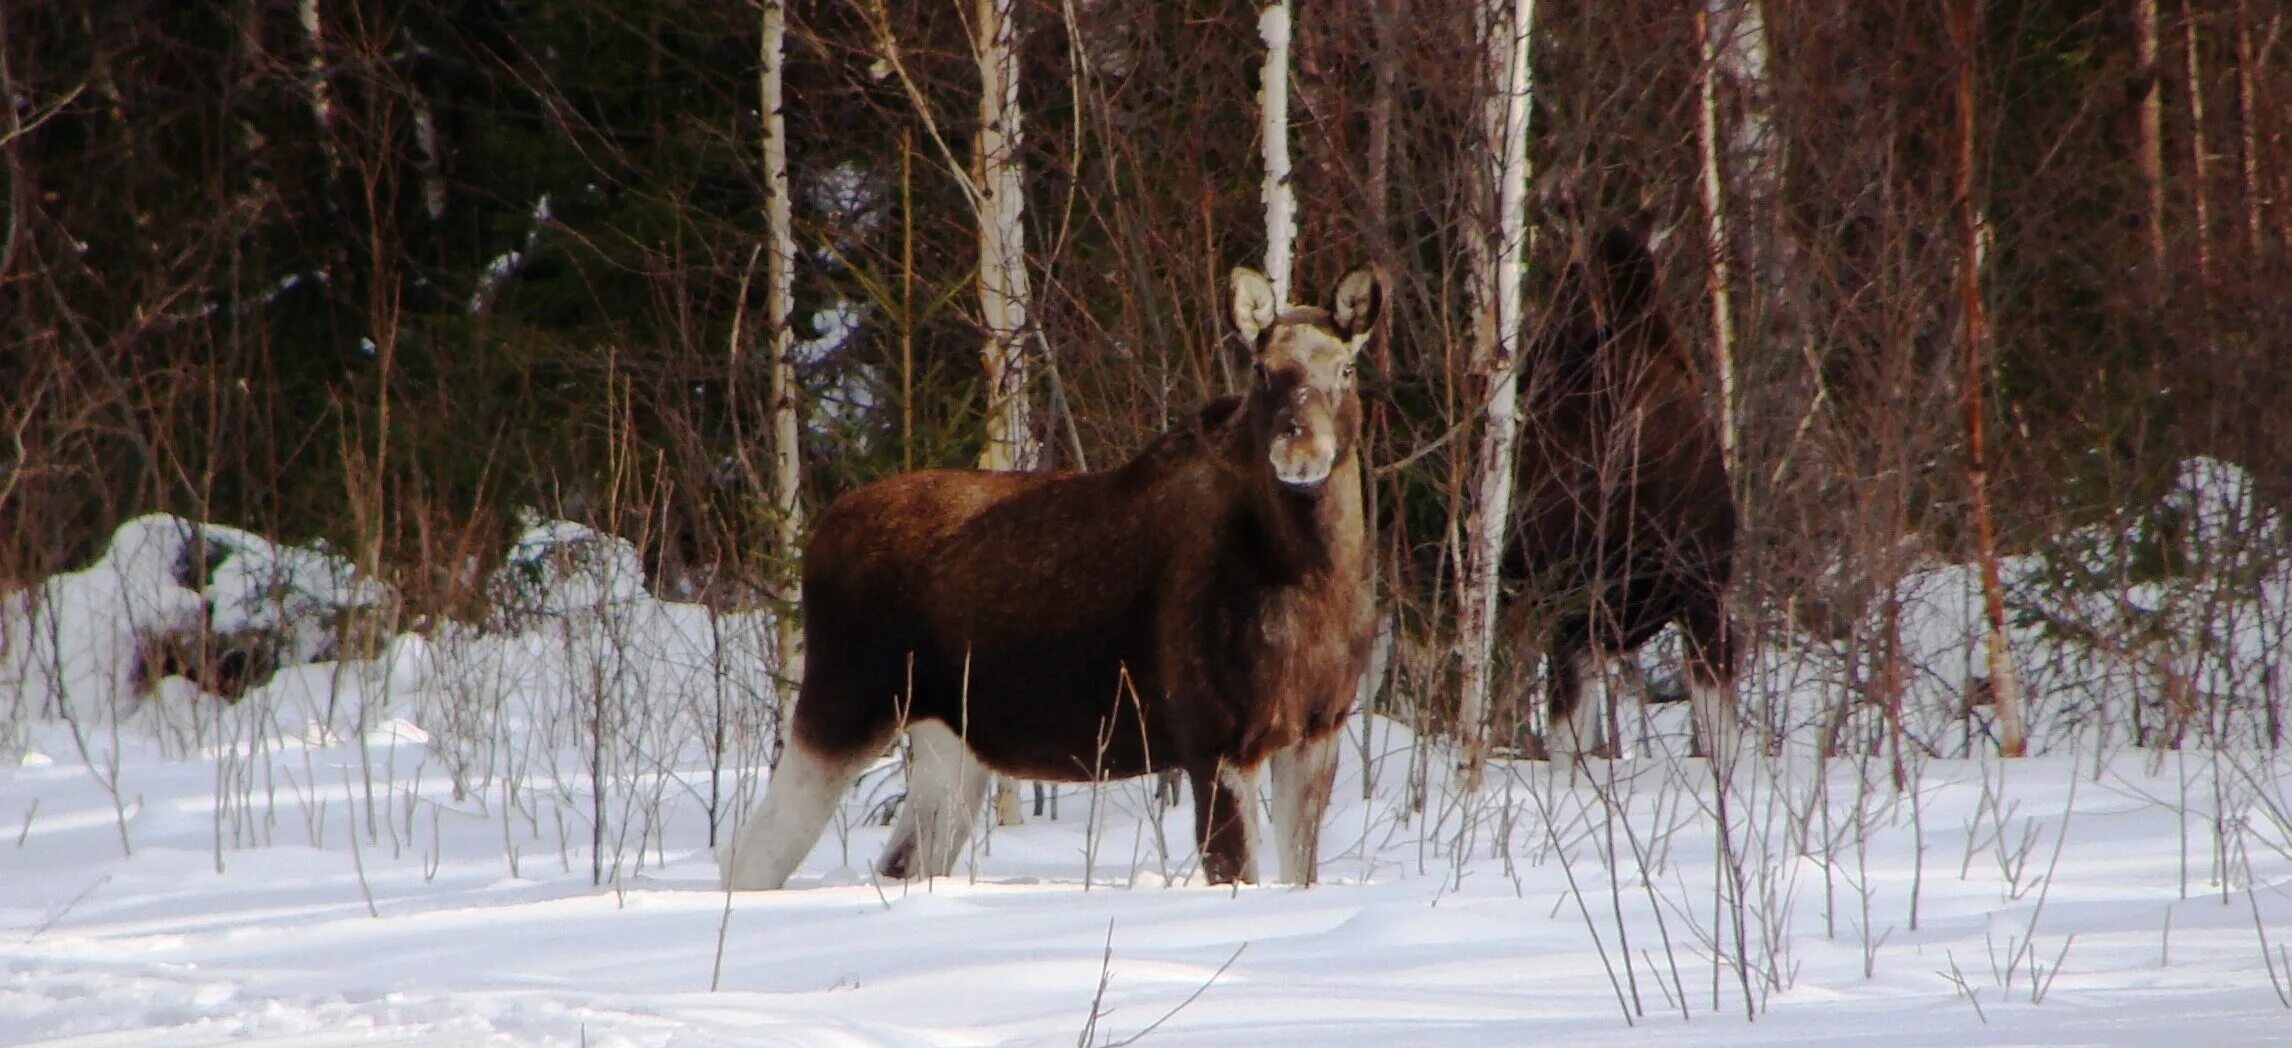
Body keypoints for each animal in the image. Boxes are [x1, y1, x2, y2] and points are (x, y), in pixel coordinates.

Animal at [724, 263, 1384, 889]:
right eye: (1263, 371)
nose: (1301, 450)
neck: (1310, 574)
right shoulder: (1217, 738)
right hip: (843, 703)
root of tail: (818, 535)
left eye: (1347, 368)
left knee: (902, 861)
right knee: (752, 858)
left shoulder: (1319, 729)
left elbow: (1299, 874)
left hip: (947, 742)